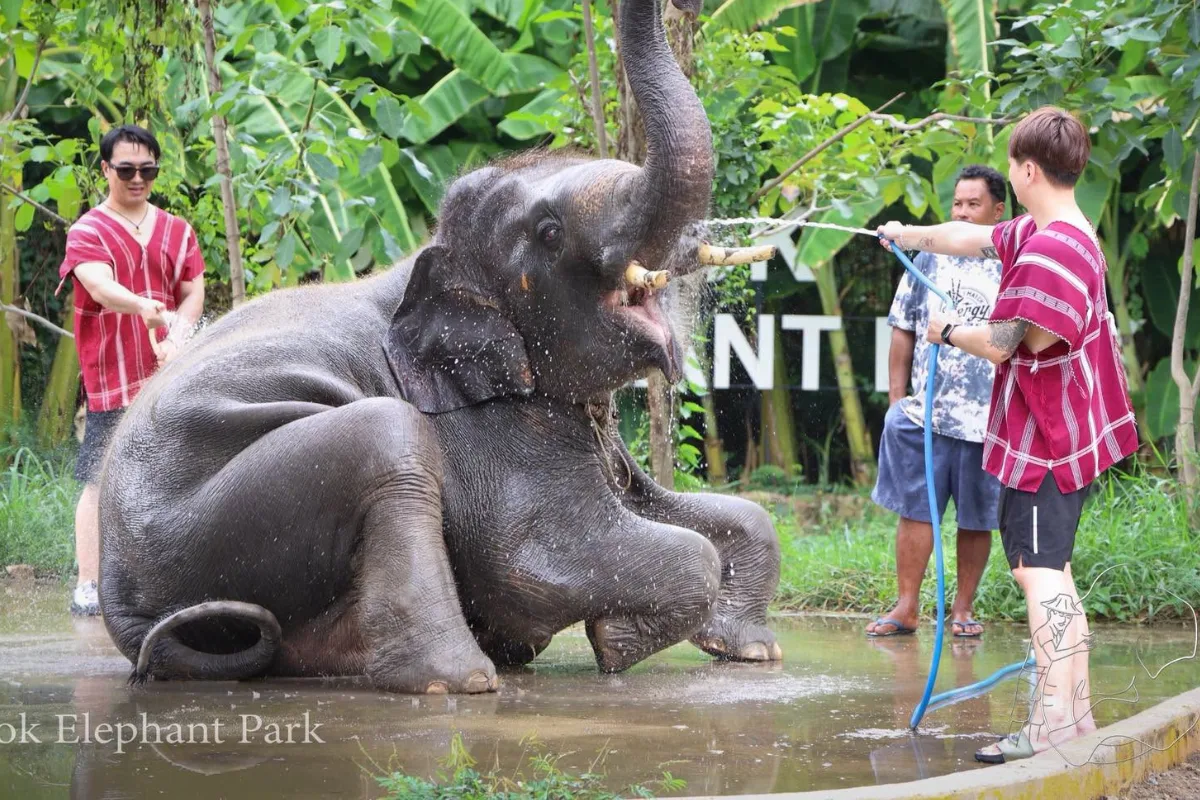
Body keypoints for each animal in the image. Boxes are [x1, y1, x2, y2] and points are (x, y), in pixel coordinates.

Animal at [97, 0, 782, 695]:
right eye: (549, 232)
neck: (430, 253)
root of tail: (119, 607)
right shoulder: (490, 432)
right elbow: (541, 558)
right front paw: (617, 644)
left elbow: (733, 513)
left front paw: (752, 650)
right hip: (204, 535)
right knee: (387, 438)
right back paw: (462, 679)